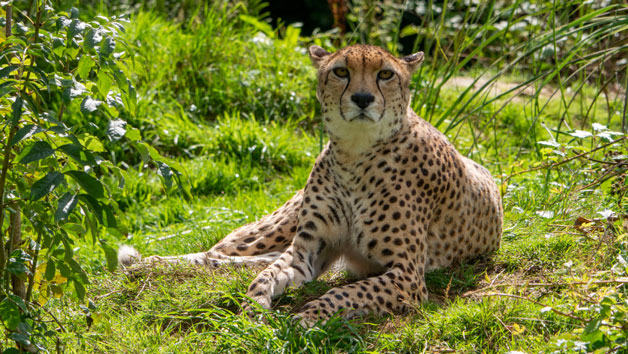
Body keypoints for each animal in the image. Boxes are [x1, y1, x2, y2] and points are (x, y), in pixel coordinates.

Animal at [119, 43, 506, 324]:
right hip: (277, 228)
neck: (355, 155)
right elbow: (263, 278)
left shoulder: (407, 276)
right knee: (221, 253)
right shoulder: (304, 252)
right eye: (341, 71)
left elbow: (346, 293)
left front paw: (308, 317)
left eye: (385, 74)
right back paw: (147, 263)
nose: (362, 98)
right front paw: (253, 308)